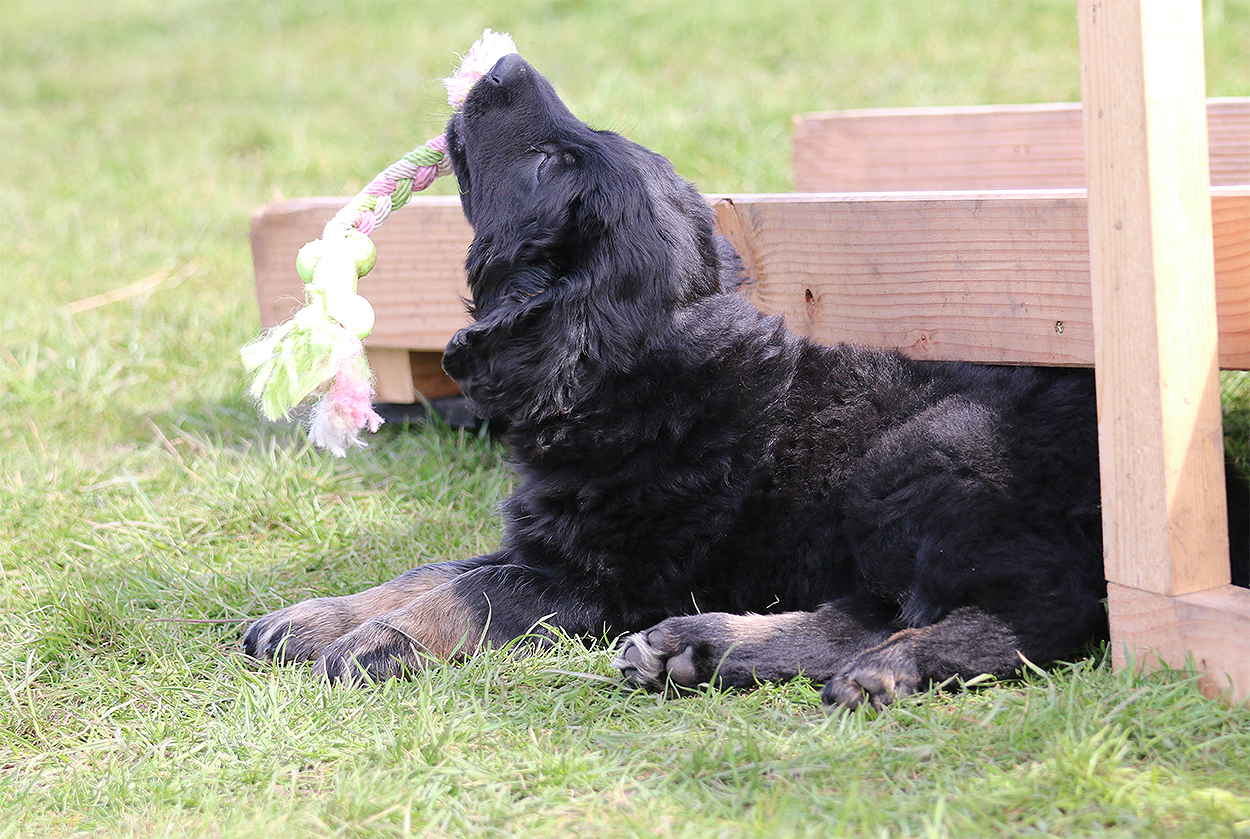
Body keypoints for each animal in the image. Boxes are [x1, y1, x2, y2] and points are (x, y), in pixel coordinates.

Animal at [244, 54, 1242, 711]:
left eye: (549, 162)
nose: (503, 65)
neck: (634, 373)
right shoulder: (553, 542)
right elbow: (433, 566)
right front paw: (317, 615)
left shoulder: (604, 580)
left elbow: (474, 591)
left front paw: (382, 640)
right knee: (863, 613)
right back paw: (696, 649)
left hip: (923, 454)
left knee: (1039, 610)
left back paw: (888, 667)